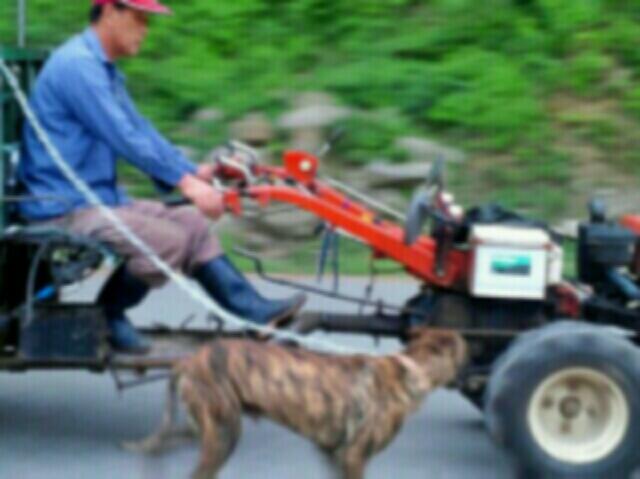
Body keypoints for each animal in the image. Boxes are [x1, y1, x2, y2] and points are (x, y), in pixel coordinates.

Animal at [125, 330, 464, 479]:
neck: (411, 367)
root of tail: (188, 360)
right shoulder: (354, 457)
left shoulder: (335, 454)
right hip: (223, 435)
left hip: (207, 426)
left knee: (164, 444)